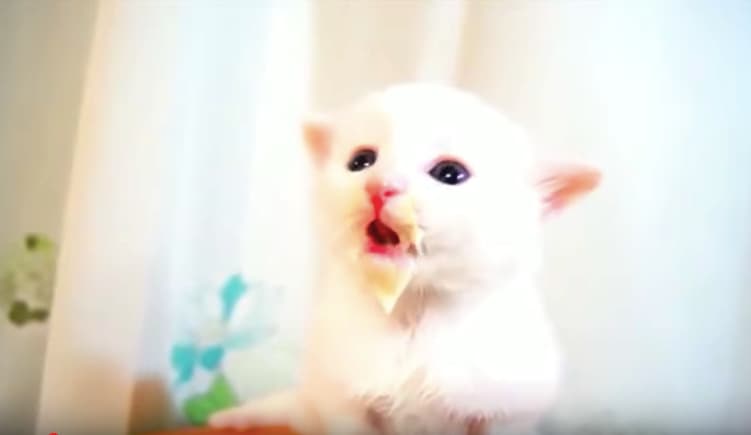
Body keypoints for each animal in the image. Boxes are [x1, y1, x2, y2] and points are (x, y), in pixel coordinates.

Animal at [209, 83, 601, 435]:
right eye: (361, 161)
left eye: (450, 173)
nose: (379, 186)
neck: (413, 311)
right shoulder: (341, 402)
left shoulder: (506, 412)